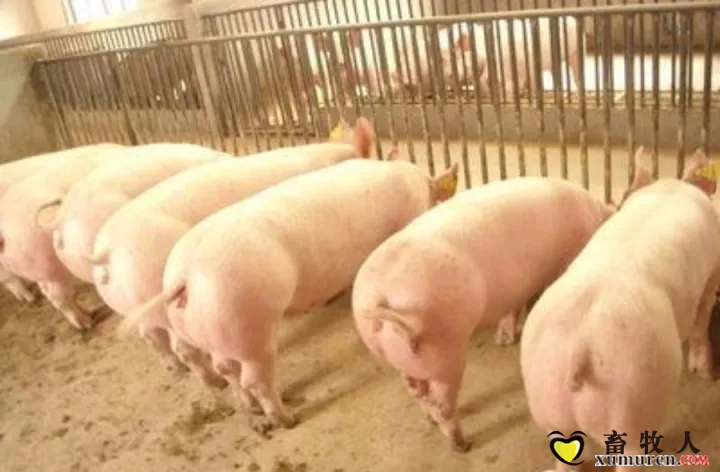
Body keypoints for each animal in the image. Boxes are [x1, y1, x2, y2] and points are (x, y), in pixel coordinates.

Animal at [93, 119, 374, 384]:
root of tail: (107, 249)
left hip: (135, 305)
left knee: (152, 336)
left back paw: (182, 372)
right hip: (156, 293)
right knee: (183, 347)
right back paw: (215, 382)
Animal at [120, 151, 459, 433]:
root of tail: (184, 274)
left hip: (212, 328)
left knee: (224, 368)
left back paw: (250, 411)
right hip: (250, 326)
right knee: (256, 380)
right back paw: (287, 419)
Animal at [352, 177, 615, 452]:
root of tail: (382, 294)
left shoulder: (516, 287)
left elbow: (513, 308)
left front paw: (504, 339)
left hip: (401, 356)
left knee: (417, 391)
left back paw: (431, 420)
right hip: (443, 351)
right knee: (442, 403)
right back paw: (462, 444)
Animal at [520, 149, 720, 470]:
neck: (668, 190)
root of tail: (580, 348)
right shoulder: (712, 271)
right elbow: (702, 319)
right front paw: (704, 372)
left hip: (546, 395)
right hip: (634, 391)